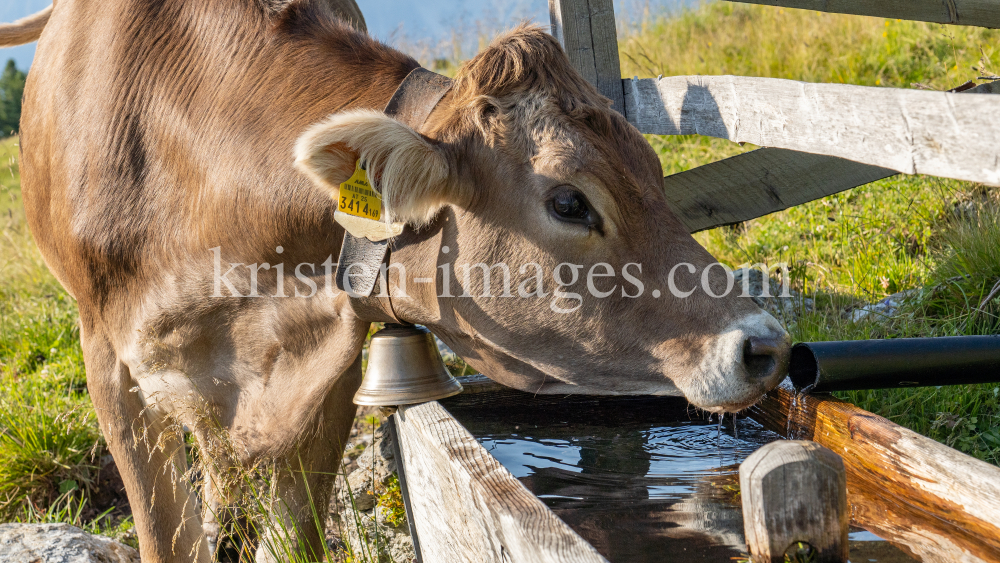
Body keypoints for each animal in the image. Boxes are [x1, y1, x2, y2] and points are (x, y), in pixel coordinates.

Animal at [3, 2, 792, 560]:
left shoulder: (328, 365)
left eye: (655, 171)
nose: (765, 345)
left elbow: (294, 536)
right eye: (570, 201)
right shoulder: (109, 366)